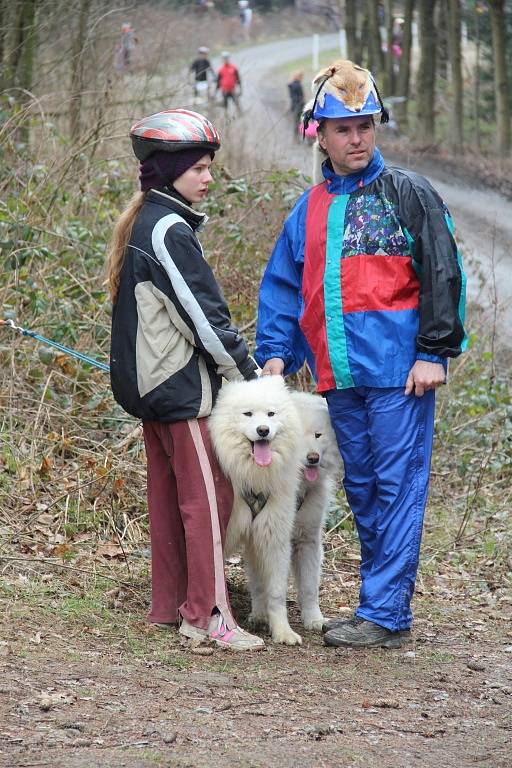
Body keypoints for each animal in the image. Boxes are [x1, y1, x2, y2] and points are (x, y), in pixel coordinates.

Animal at [208, 376, 340, 644]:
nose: (263, 430)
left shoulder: (292, 538)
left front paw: (296, 626)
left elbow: (297, 588)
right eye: (248, 414)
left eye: (318, 435)